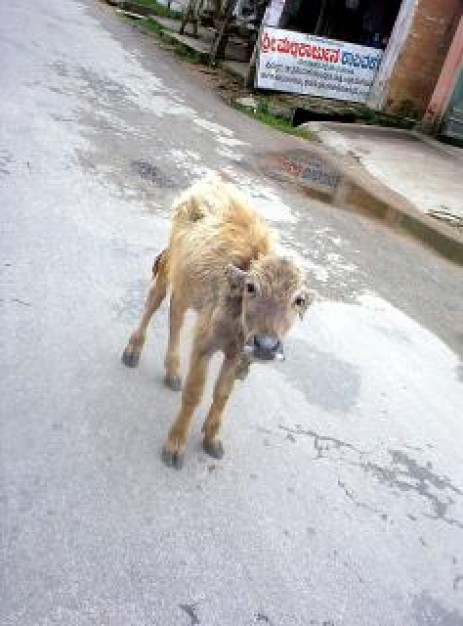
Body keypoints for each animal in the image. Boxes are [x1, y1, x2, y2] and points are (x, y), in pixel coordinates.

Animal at [121, 173, 314, 466]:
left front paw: (212, 439)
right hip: (172, 263)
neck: (237, 325)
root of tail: (208, 183)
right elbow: (195, 393)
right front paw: (175, 445)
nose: (266, 346)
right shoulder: (204, 344)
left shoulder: (236, 354)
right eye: (251, 287)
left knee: (176, 313)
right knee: (156, 298)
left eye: (298, 300)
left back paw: (173, 371)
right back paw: (133, 350)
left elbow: (222, 394)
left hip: (187, 285)